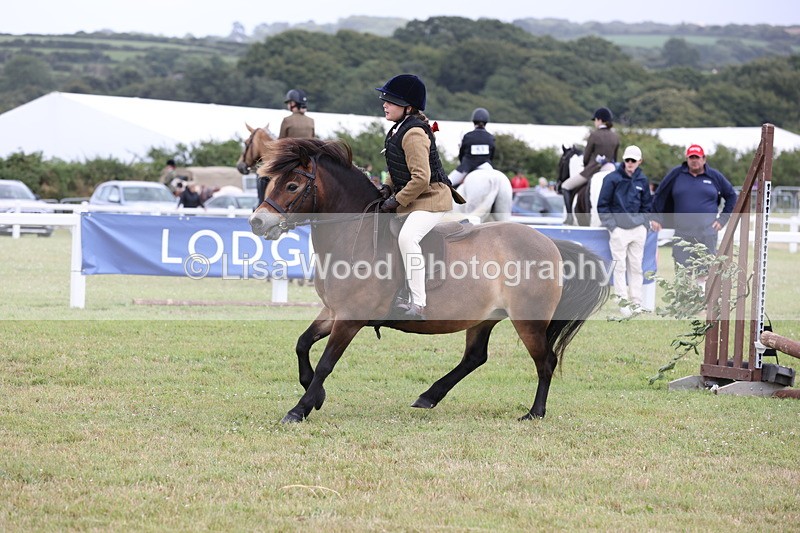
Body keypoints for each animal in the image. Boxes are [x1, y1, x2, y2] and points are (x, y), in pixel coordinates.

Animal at [248, 138, 610, 423]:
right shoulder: (334, 311)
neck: (355, 234)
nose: (256, 222)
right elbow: (302, 344)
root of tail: (549, 242)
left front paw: (300, 408)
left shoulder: (350, 318)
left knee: (545, 361)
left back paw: (534, 413)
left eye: (292, 186)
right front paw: (315, 396)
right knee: (475, 357)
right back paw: (429, 396)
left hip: (528, 321)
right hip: (483, 317)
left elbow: (325, 363)